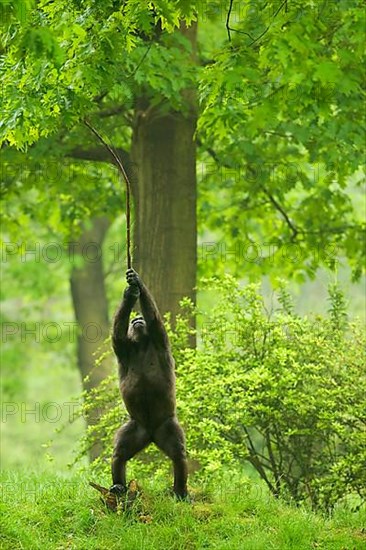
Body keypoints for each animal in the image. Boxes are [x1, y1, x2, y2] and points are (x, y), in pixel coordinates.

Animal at [110, 270, 187, 502]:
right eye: (134, 318)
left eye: (140, 318)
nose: (136, 319)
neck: (142, 344)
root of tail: (151, 435)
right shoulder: (122, 347)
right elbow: (117, 332)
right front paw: (129, 295)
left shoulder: (159, 336)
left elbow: (154, 318)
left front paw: (137, 282)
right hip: (135, 429)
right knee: (120, 453)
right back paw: (118, 486)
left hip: (167, 426)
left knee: (178, 454)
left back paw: (180, 492)